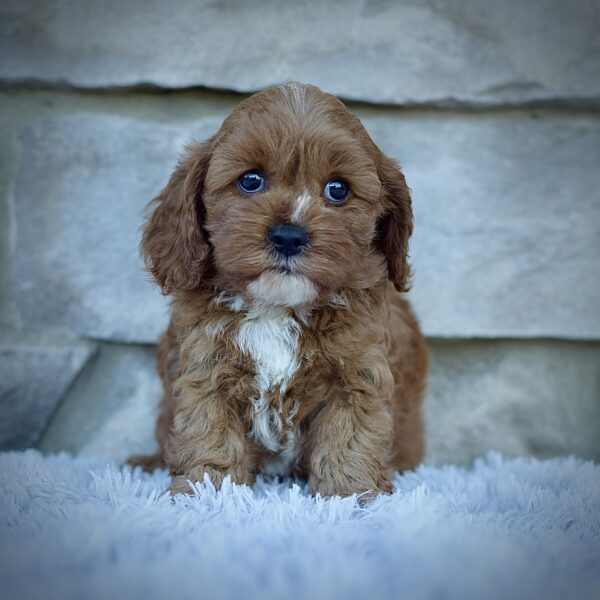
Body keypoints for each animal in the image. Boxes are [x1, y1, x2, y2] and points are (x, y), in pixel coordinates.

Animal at [127, 82, 426, 500]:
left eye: (338, 189)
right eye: (250, 180)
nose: (288, 235)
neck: (277, 307)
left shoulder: (358, 375)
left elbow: (350, 440)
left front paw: (350, 497)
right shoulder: (205, 369)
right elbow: (209, 435)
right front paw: (208, 493)